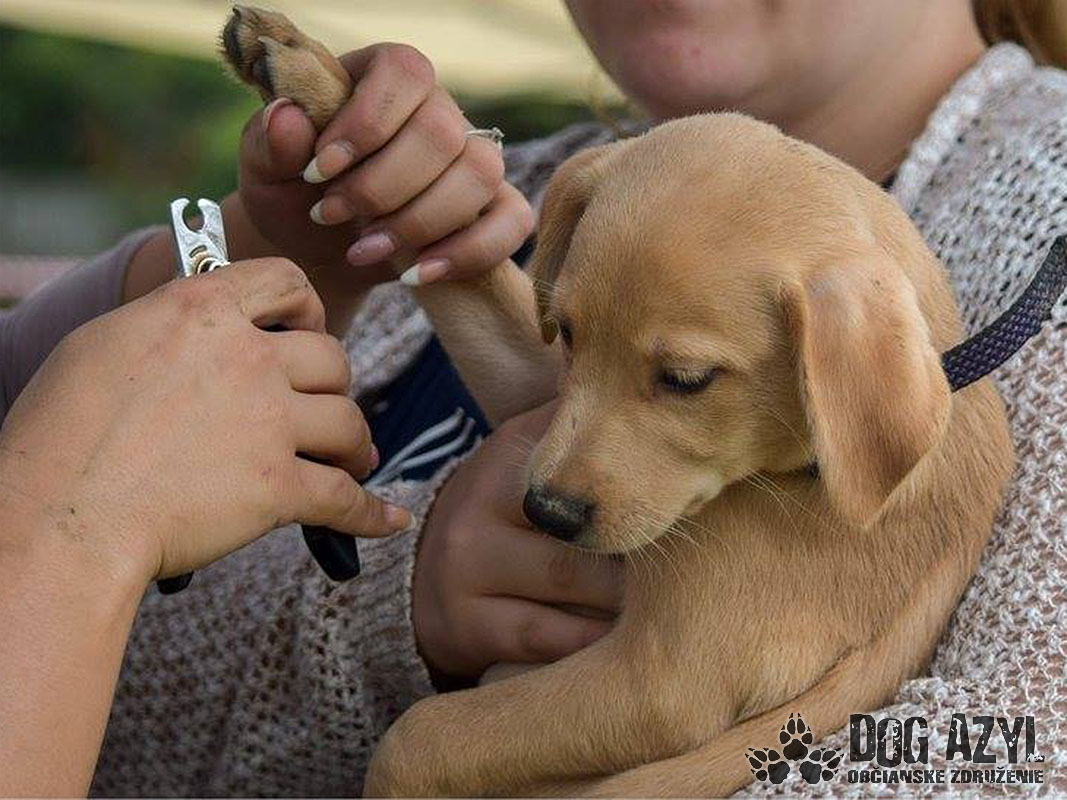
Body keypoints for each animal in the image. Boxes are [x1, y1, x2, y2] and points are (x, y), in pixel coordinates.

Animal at [221, 8, 1014, 796]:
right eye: (569, 333)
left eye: (687, 380)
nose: (545, 513)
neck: (796, 476)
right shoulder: (537, 384)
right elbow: (464, 271)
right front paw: (312, 74)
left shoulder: (660, 685)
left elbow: (420, 737)